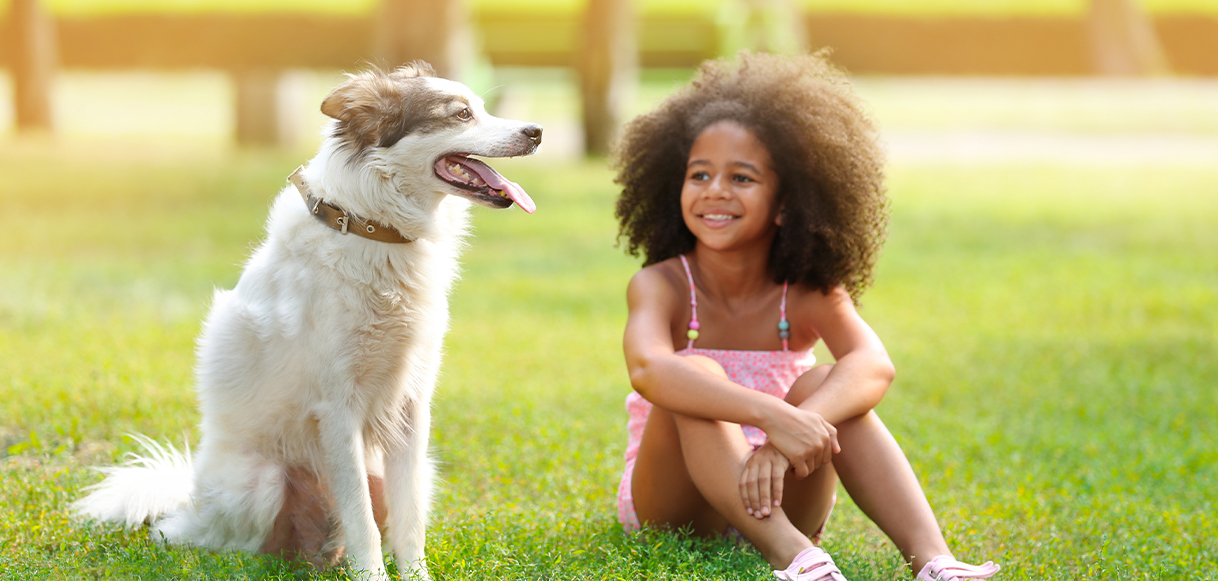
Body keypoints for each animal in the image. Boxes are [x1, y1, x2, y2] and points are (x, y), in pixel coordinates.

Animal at [74, 61, 543, 577]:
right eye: (461, 114)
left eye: (481, 107)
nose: (537, 131)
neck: (372, 228)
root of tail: (190, 507)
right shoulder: (337, 409)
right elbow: (362, 520)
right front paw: (372, 575)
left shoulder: (411, 408)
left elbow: (408, 521)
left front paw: (413, 574)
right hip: (260, 484)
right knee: (227, 545)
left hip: (407, 470)